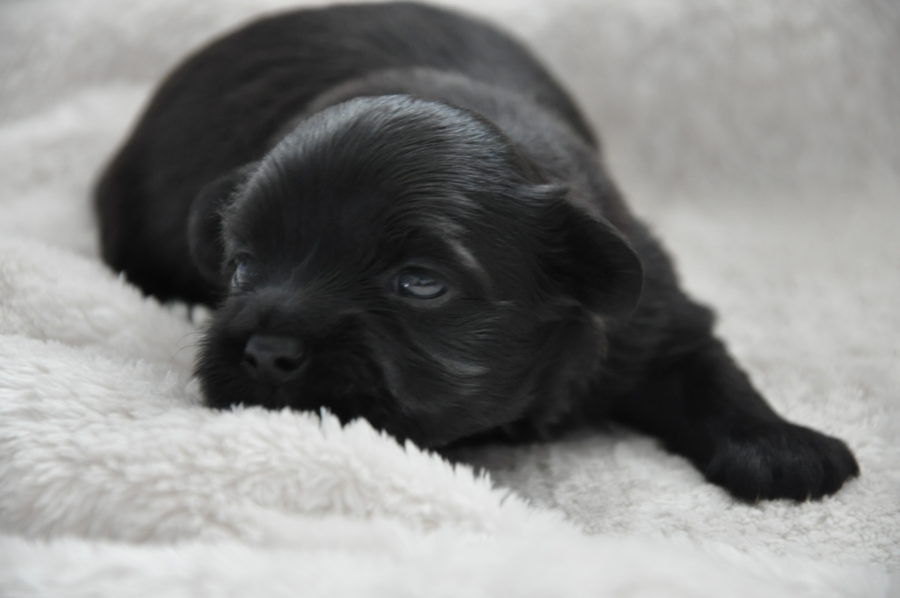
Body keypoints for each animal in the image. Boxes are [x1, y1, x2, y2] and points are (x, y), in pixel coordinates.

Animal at [96, 2, 856, 504]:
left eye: (420, 284)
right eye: (242, 266)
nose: (266, 351)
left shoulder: (656, 317)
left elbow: (711, 372)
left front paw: (783, 448)